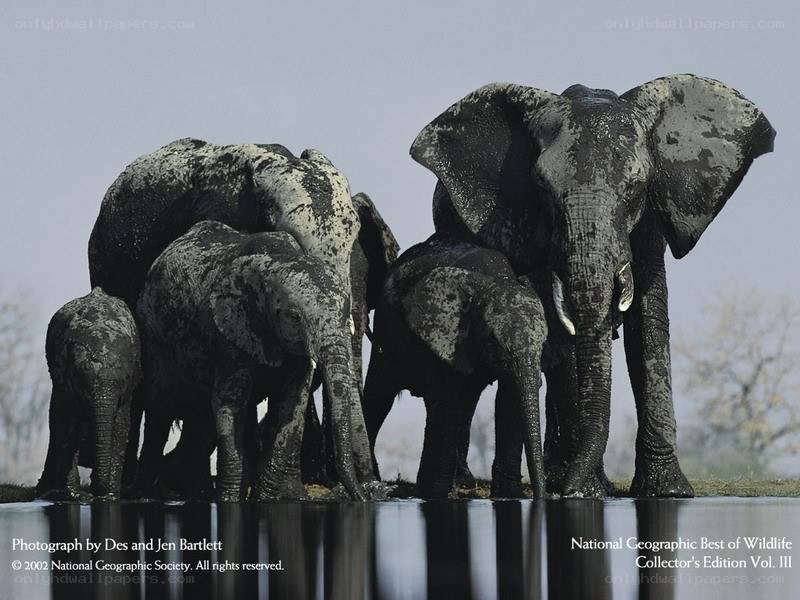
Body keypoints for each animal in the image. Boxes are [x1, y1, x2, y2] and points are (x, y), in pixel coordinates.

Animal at [36, 287, 141, 500]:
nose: (93, 495)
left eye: (123, 381)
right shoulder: (65, 379)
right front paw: (72, 496)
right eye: (81, 380)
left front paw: (109, 496)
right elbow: (66, 422)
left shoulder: (128, 389)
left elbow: (121, 425)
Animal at [135, 220, 375, 501]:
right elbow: (229, 402)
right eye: (295, 316)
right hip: (153, 333)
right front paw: (229, 501)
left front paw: (265, 499)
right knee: (160, 408)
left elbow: (291, 403)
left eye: (345, 313)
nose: (364, 498)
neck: (278, 262)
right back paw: (145, 494)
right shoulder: (231, 329)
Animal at [362, 232, 547, 499]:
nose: (541, 495)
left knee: (465, 403)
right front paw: (441, 495)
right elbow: (448, 399)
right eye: (493, 341)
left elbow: (509, 398)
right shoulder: (445, 333)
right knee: (380, 395)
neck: (497, 281)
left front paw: (510, 496)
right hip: (386, 330)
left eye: (544, 343)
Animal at [410, 74, 775, 497]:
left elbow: (648, 324)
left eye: (637, 188)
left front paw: (667, 491)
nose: (566, 490)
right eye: (542, 189)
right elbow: (564, 333)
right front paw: (587, 491)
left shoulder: (650, 219)